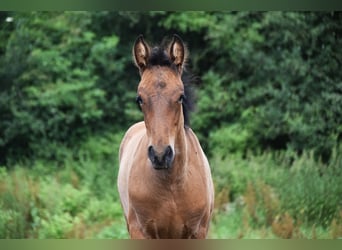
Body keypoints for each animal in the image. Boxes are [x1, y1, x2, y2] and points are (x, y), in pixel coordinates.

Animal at [117, 34, 214, 238]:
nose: (160, 155)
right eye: (139, 99)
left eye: (181, 97)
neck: (173, 185)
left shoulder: (198, 232)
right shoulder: (140, 231)